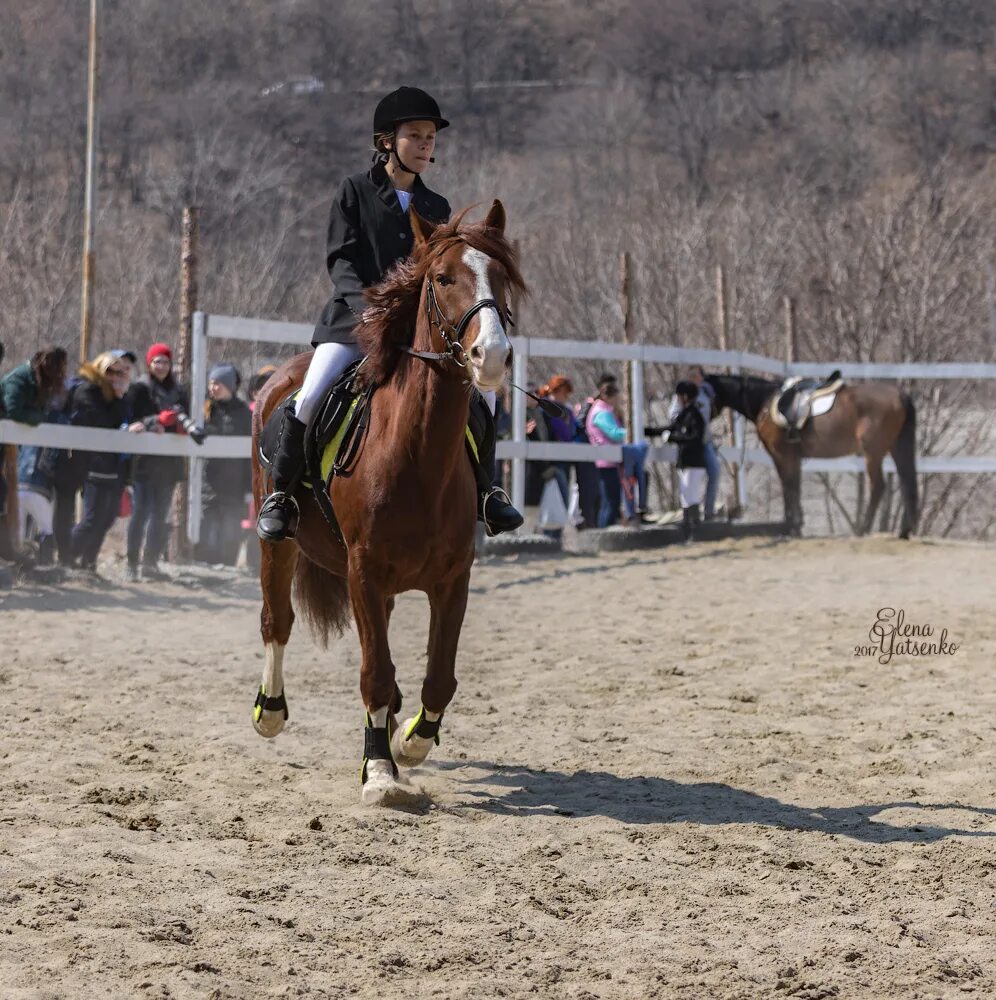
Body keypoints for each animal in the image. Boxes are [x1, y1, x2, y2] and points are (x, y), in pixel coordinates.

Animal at [251, 201, 520, 804]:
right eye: (442, 278)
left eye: (502, 277)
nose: (491, 356)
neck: (418, 456)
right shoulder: (363, 573)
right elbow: (374, 671)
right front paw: (378, 771)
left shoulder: (453, 577)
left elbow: (438, 676)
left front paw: (410, 743)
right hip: (280, 544)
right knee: (277, 620)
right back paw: (270, 712)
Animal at [708, 372, 920, 540]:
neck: (766, 401)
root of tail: (900, 395)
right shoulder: (794, 459)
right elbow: (794, 488)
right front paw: (796, 526)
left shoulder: (781, 456)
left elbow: (789, 489)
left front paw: (791, 528)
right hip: (897, 448)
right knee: (906, 480)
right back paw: (905, 531)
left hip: (873, 453)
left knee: (878, 486)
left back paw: (863, 528)